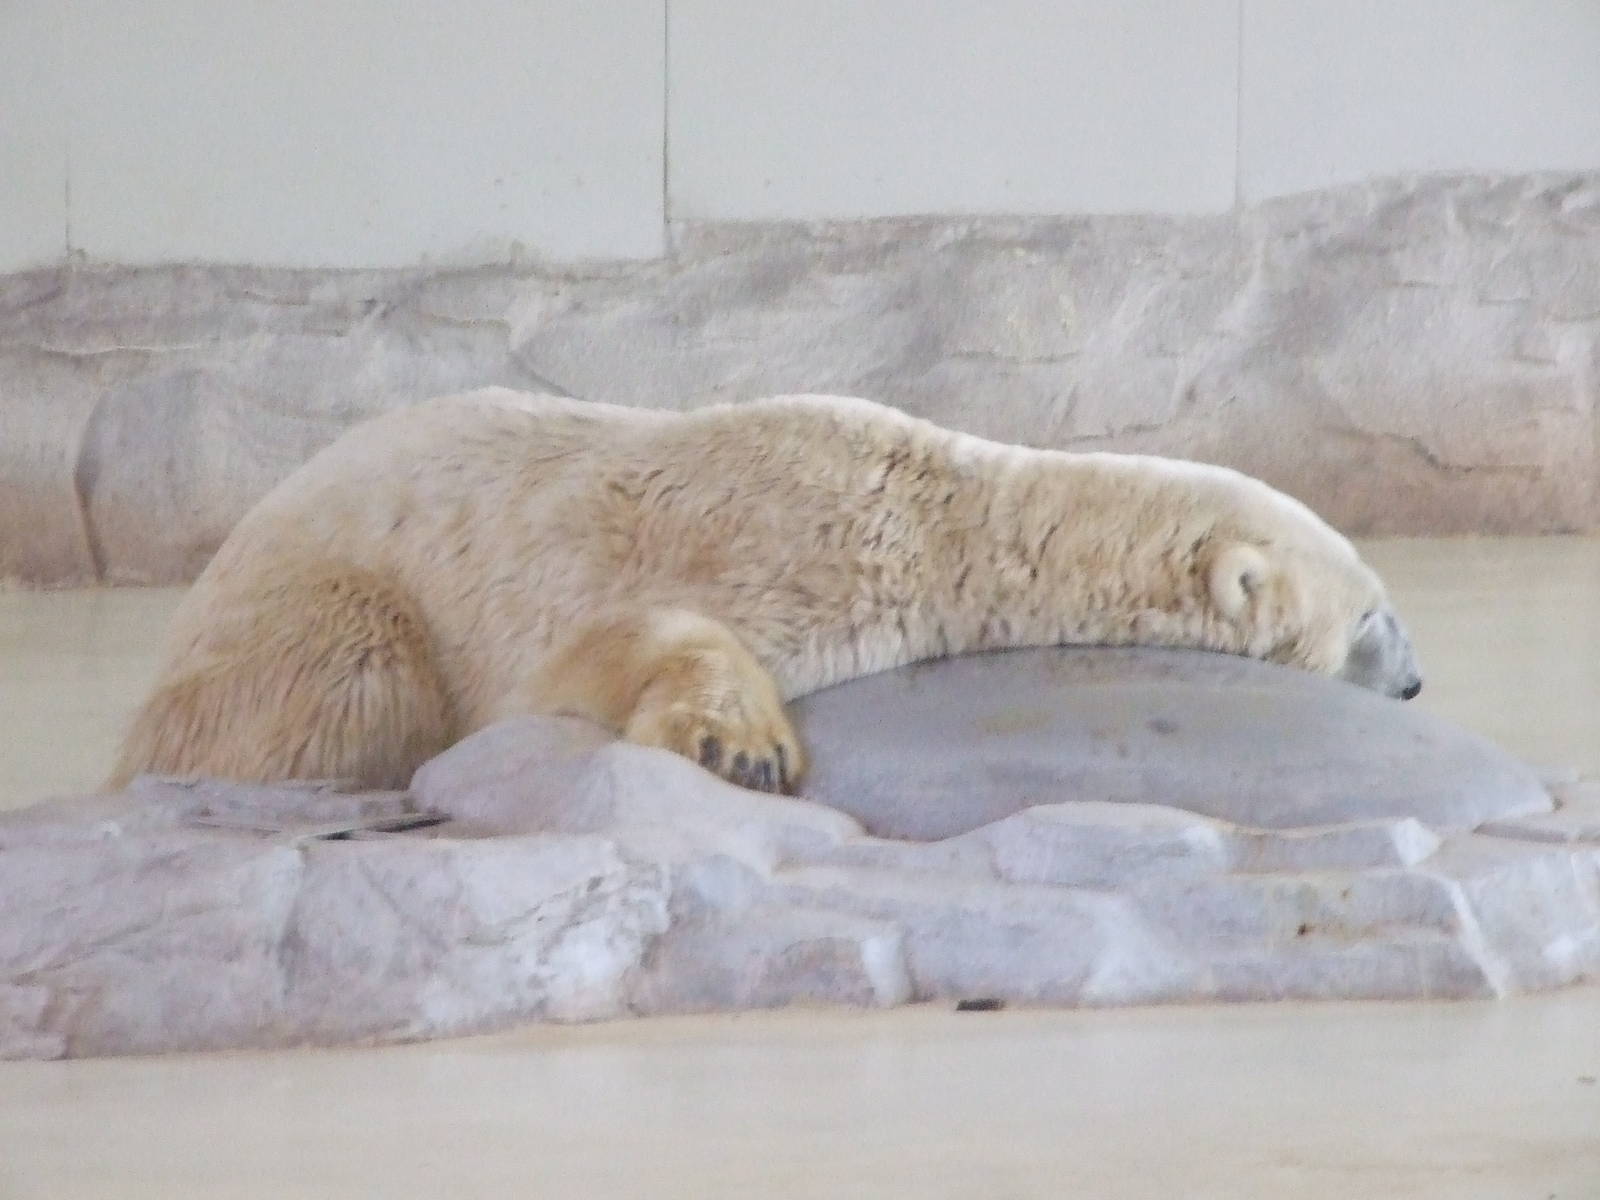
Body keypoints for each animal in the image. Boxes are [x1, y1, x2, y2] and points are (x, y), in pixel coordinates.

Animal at [109, 388, 1422, 795]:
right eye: (1371, 613)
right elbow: (593, 650)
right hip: (306, 603)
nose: (1415, 684)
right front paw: (741, 748)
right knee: (346, 677)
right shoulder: (779, 537)